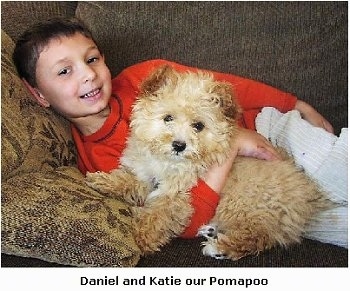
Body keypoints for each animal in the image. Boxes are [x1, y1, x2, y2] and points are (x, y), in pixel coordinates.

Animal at [86, 66, 330, 262]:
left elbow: (160, 215)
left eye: (198, 126)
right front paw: (101, 181)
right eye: (168, 118)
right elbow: (129, 181)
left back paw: (219, 247)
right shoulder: (146, 176)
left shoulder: (178, 197)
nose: (179, 145)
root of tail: (308, 196)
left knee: (258, 238)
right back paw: (213, 232)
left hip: (250, 206)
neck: (168, 162)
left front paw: (143, 237)